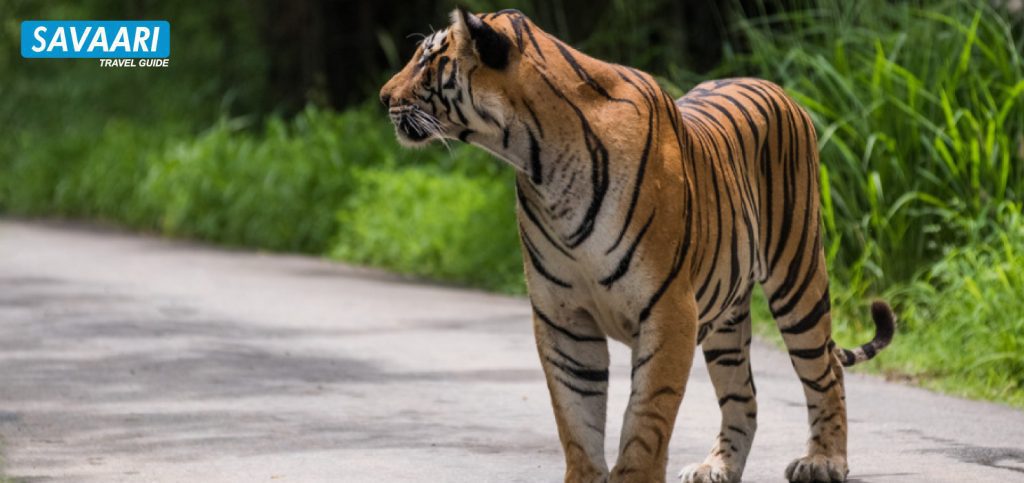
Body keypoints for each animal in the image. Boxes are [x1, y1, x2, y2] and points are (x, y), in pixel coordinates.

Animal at [380, 8, 892, 483]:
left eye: (427, 59)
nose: (384, 96)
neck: (538, 160)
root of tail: (774, 87)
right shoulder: (562, 317)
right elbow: (576, 416)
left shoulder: (669, 309)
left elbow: (646, 417)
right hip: (727, 321)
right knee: (742, 394)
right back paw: (717, 466)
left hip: (798, 275)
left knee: (826, 371)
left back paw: (823, 461)